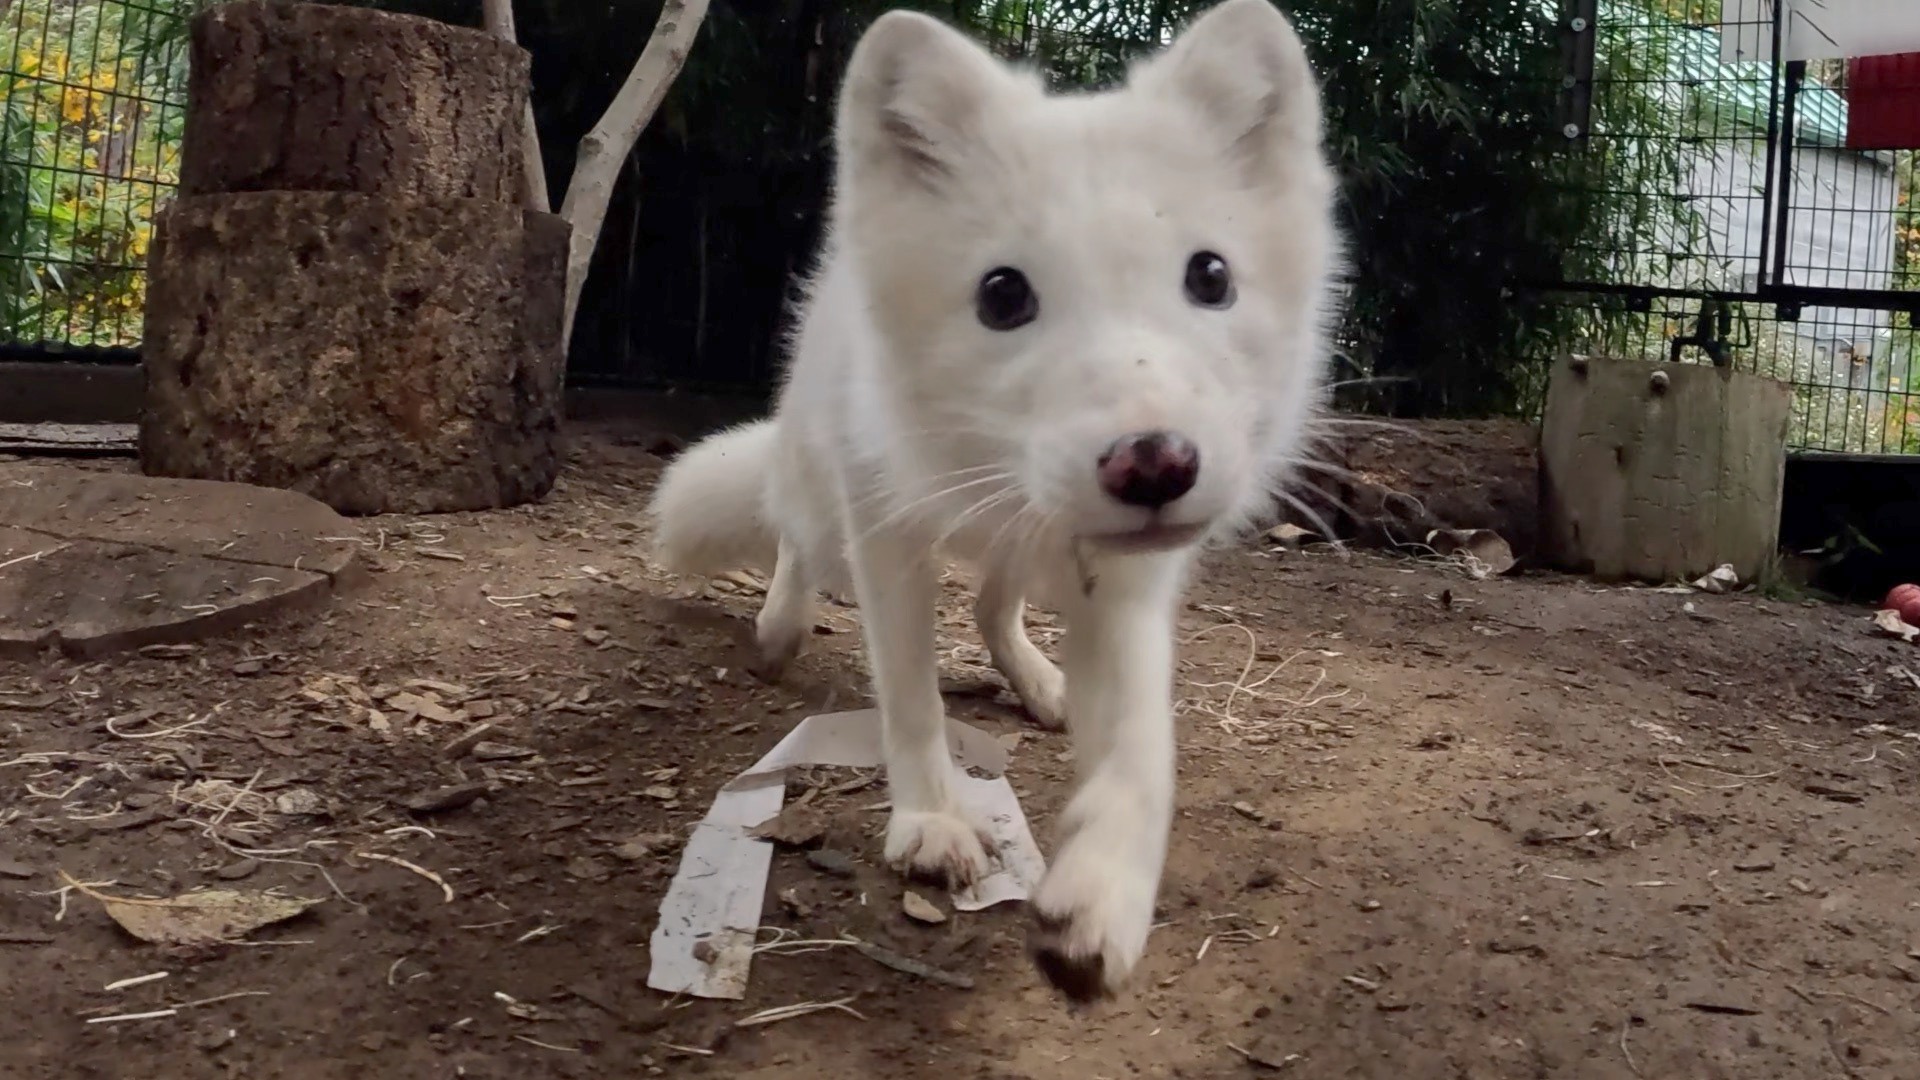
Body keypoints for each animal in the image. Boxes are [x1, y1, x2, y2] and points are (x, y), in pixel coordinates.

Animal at [645, 0, 1341, 1000]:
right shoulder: (884, 526)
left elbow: (1145, 751)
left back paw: (1041, 682)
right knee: (796, 538)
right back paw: (778, 630)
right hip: (823, 488)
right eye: (1002, 295)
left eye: (1211, 277)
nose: (1155, 465)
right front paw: (933, 822)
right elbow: (909, 697)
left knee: (990, 604)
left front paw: (1100, 899)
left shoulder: (1129, 587)